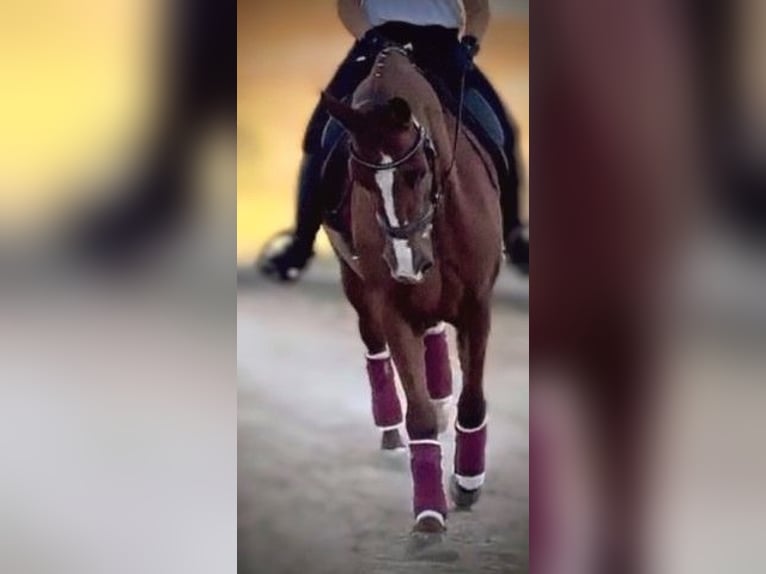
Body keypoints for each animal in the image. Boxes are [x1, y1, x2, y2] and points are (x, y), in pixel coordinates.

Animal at [319, 45, 503, 536]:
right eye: (360, 180)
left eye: (418, 172)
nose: (405, 263)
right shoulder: (392, 307)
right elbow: (417, 414)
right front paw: (429, 512)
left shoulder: (478, 305)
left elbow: (473, 400)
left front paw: (467, 481)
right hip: (357, 286)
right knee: (375, 346)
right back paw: (389, 428)